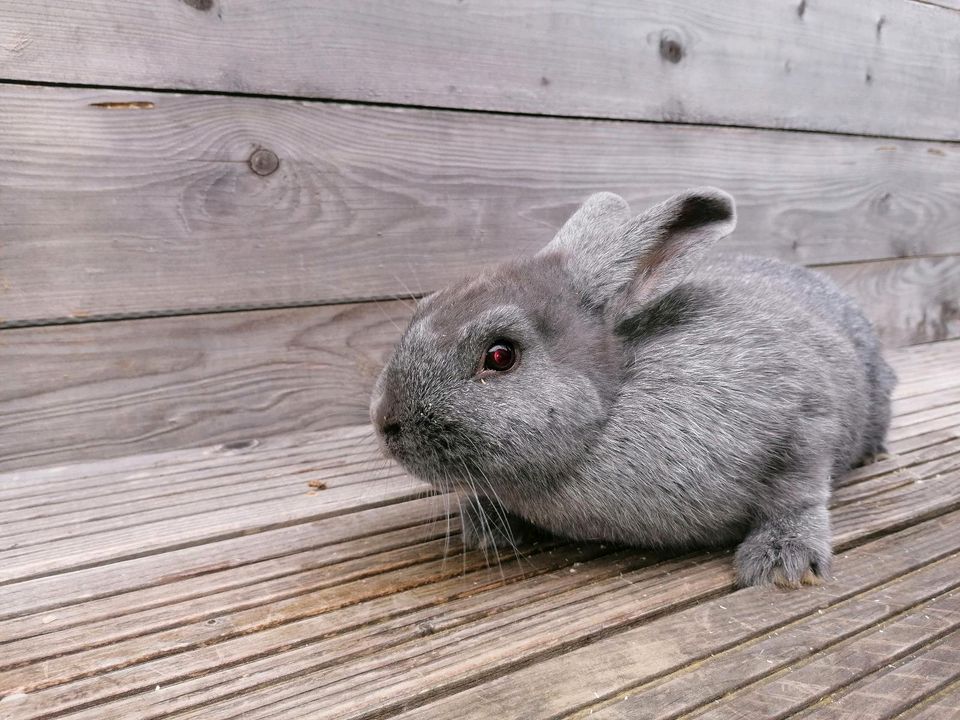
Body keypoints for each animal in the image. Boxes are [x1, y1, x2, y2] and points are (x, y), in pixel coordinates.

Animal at [372, 188, 896, 588]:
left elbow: (798, 492)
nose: (384, 422)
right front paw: (485, 528)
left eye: (500, 356)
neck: (614, 405)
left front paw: (781, 564)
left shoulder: (805, 419)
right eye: (426, 306)